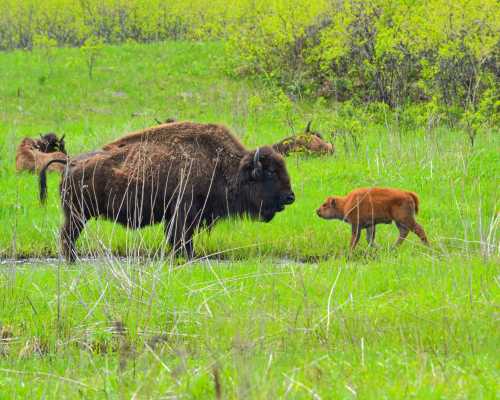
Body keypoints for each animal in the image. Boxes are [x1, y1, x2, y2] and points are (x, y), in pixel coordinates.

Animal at [42, 120, 296, 260]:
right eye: (270, 172)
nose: (290, 197)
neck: (220, 164)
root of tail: (70, 163)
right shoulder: (183, 214)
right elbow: (180, 239)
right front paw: (185, 258)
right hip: (78, 215)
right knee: (67, 237)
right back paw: (72, 262)